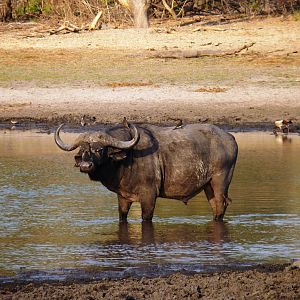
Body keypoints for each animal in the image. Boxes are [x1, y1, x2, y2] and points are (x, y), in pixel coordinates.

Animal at [55, 122, 238, 223]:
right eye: (82, 149)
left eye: (100, 149)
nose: (85, 165)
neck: (128, 158)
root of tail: (230, 138)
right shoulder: (123, 197)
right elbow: (122, 216)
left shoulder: (149, 196)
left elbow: (146, 218)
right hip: (208, 186)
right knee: (215, 207)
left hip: (220, 182)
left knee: (221, 205)